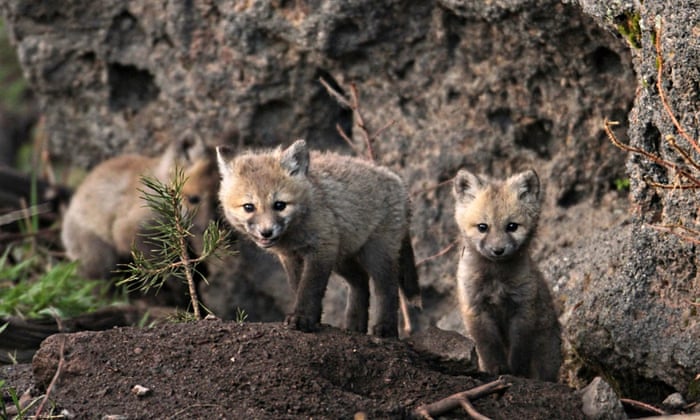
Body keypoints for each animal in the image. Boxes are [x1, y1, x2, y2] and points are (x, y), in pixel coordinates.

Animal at [61, 137, 219, 304]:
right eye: (194, 199)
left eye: (217, 202)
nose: (208, 227)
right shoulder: (129, 230)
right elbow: (166, 267)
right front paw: (183, 292)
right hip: (101, 256)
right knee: (100, 286)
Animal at [216, 139, 421, 337]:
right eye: (248, 207)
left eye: (280, 205)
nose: (266, 232)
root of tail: (400, 183)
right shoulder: (291, 257)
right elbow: (298, 287)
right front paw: (313, 318)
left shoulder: (322, 249)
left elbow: (310, 288)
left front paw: (303, 318)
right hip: (342, 258)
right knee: (361, 282)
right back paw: (354, 327)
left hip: (376, 254)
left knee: (388, 289)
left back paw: (386, 328)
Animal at [452, 168, 561, 381]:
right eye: (482, 227)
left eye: (512, 226)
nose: (498, 250)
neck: (496, 279)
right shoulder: (476, 309)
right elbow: (489, 346)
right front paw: (497, 369)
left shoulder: (523, 308)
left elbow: (519, 348)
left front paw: (517, 371)